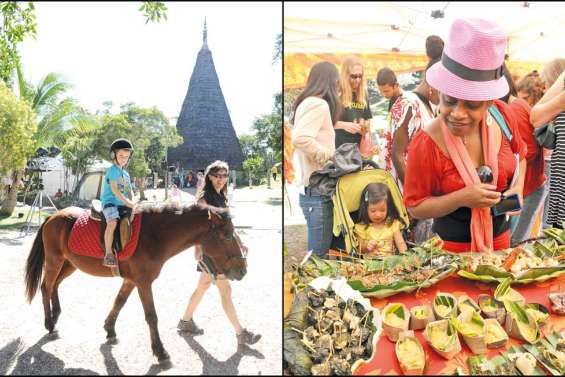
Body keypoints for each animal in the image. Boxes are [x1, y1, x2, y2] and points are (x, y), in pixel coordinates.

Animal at [24, 201, 245, 362]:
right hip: (55, 261)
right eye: (227, 236)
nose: (243, 270)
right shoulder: (144, 283)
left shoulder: (131, 281)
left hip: (69, 264)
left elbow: (119, 303)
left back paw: (56, 315)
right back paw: (50, 324)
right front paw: (160, 351)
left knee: (55, 285)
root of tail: (52, 216)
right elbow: (152, 316)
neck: (154, 235)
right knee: (46, 287)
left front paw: (110, 330)